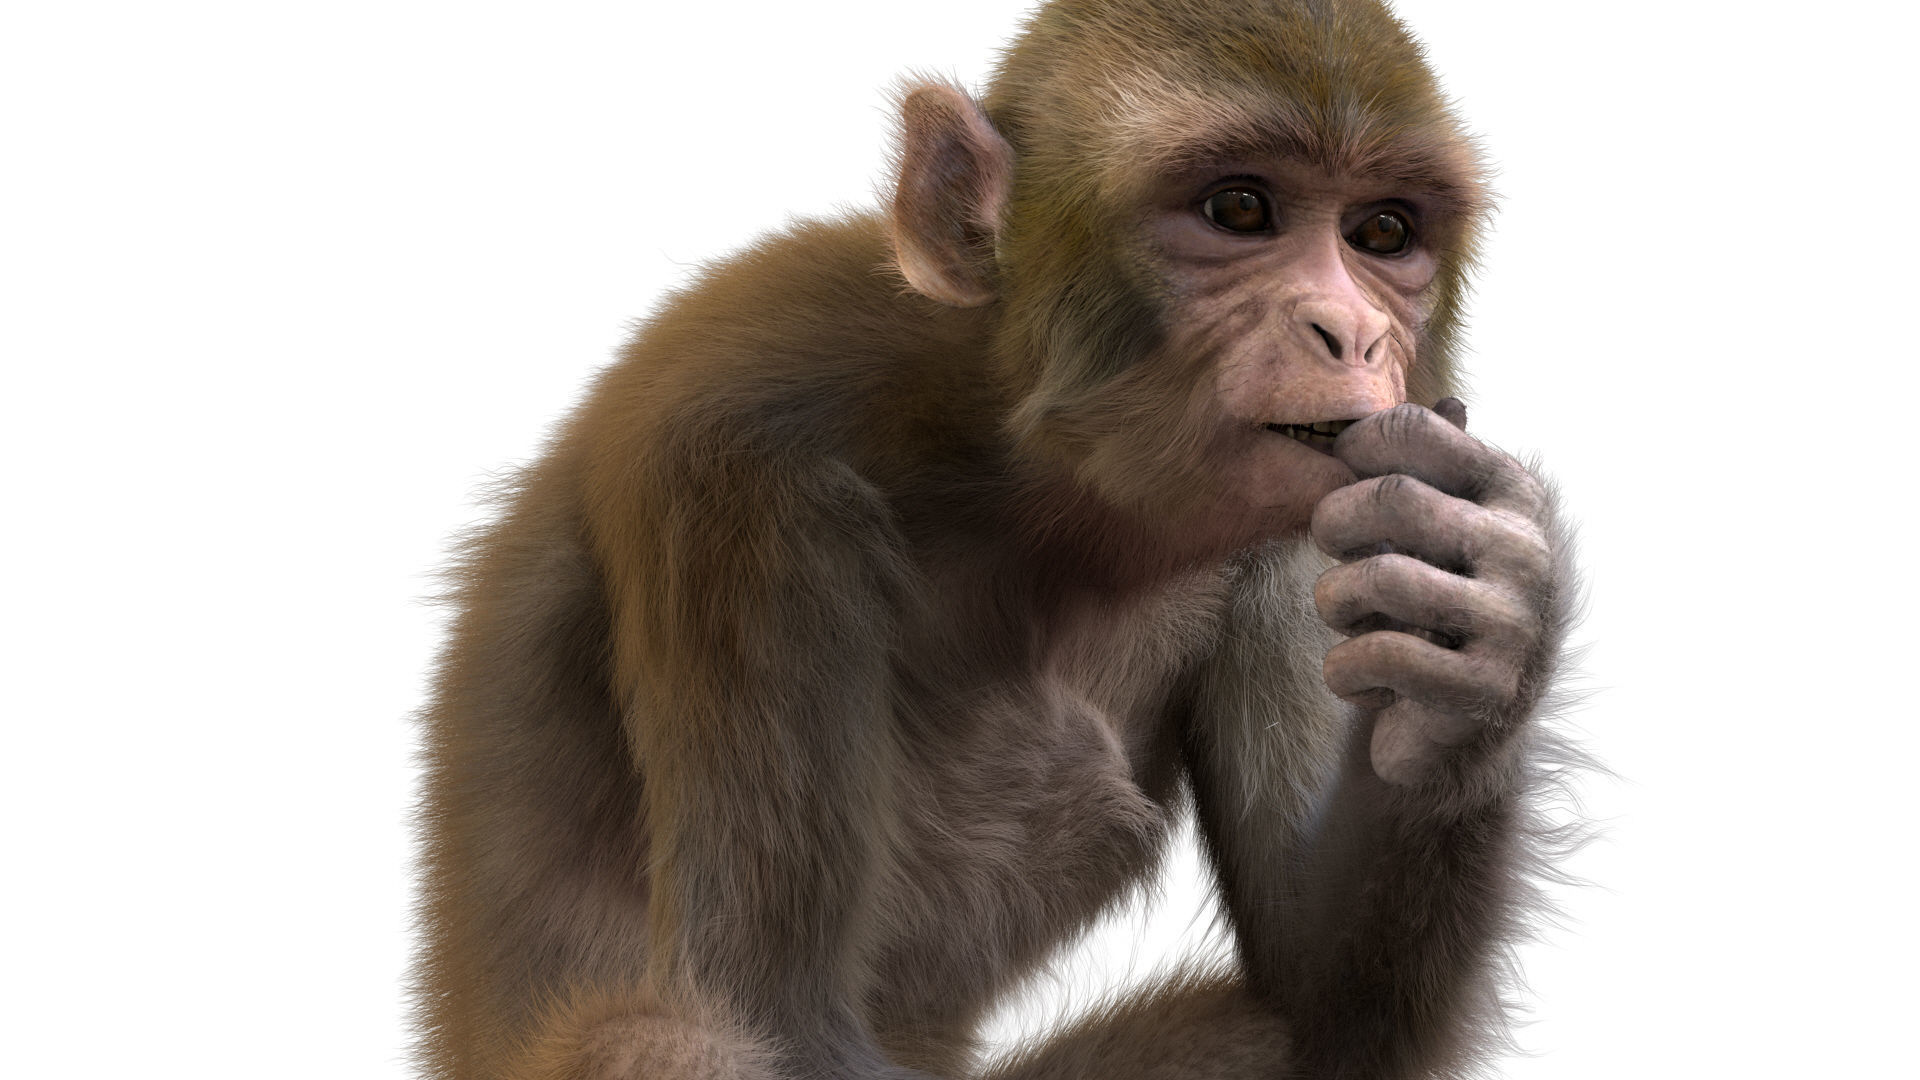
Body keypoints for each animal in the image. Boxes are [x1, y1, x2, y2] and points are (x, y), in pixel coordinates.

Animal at [412, 1, 1579, 1078]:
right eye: (1240, 208)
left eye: (1382, 234)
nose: (1356, 335)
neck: (1010, 472)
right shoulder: (728, 457)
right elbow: (772, 1014)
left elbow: (1330, 1011)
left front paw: (1476, 652)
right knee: (662, 1038)